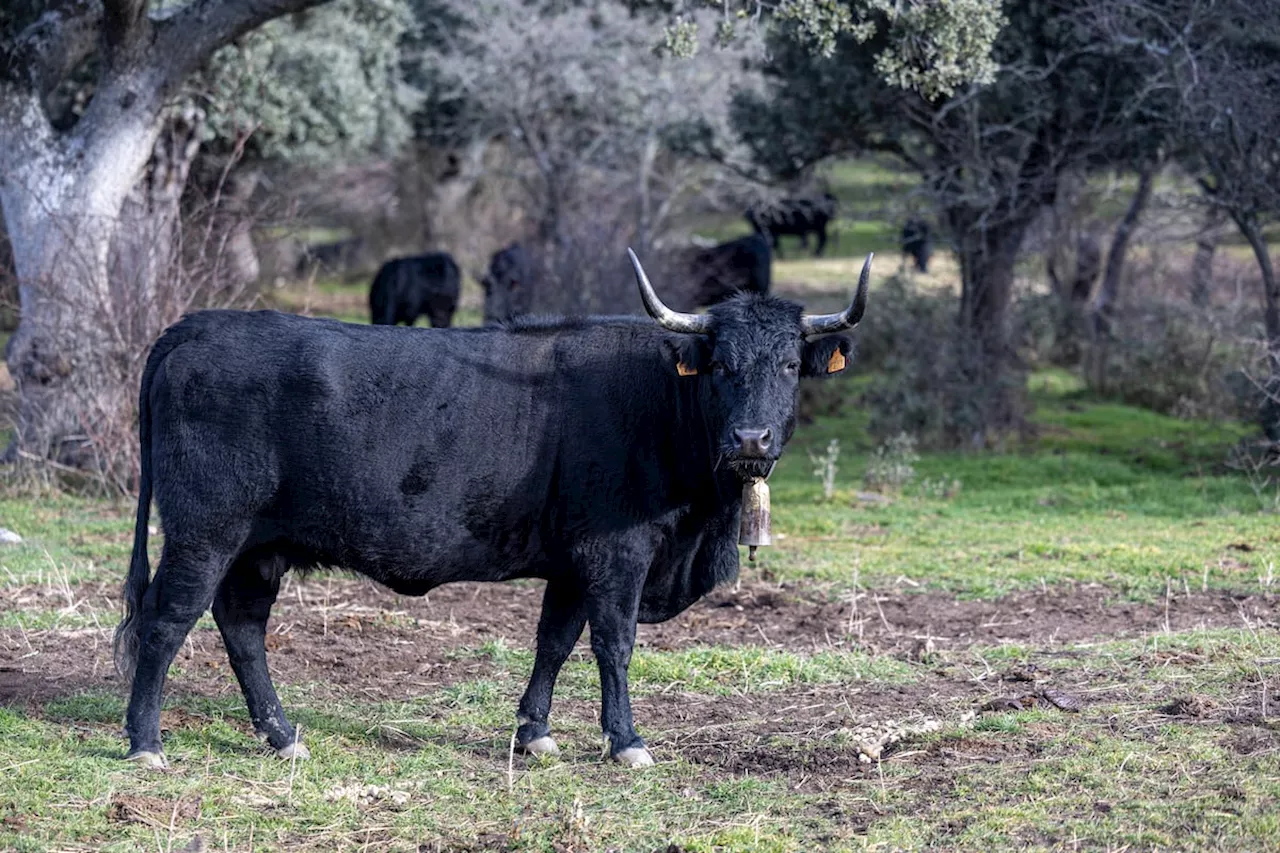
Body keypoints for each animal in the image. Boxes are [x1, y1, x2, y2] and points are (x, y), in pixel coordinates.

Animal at [115, 249, 875, 768]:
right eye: (719, 365)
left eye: (789, 365)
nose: (751, 439)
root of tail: (194, 327)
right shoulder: (617, 554)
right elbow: (614, 642)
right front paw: (626, 739)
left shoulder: (572, 562)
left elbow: (554, 640)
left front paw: (535, 733)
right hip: (205, 532)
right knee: (167, 619)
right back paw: (146, 742)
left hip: (257, 547)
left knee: (241, 626)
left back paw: (281, 735)